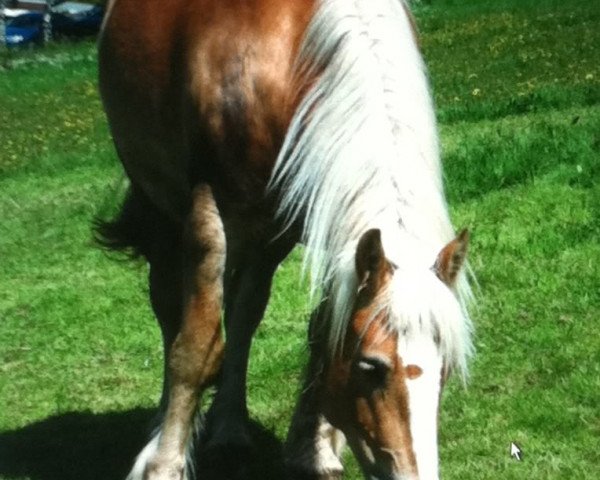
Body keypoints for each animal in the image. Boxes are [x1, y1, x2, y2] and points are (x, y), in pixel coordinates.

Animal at [97, 0, 474, 476]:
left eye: (445, 369)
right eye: (371, 366)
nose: (414, 474)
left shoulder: (328, 217)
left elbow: (321, 329)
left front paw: (314, 450)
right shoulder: (208, 210)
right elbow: (195, 349)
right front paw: (164, 465)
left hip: (268, 234)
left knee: (244, 313)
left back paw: (230, 428)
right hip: (163, 212)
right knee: (170, 315)